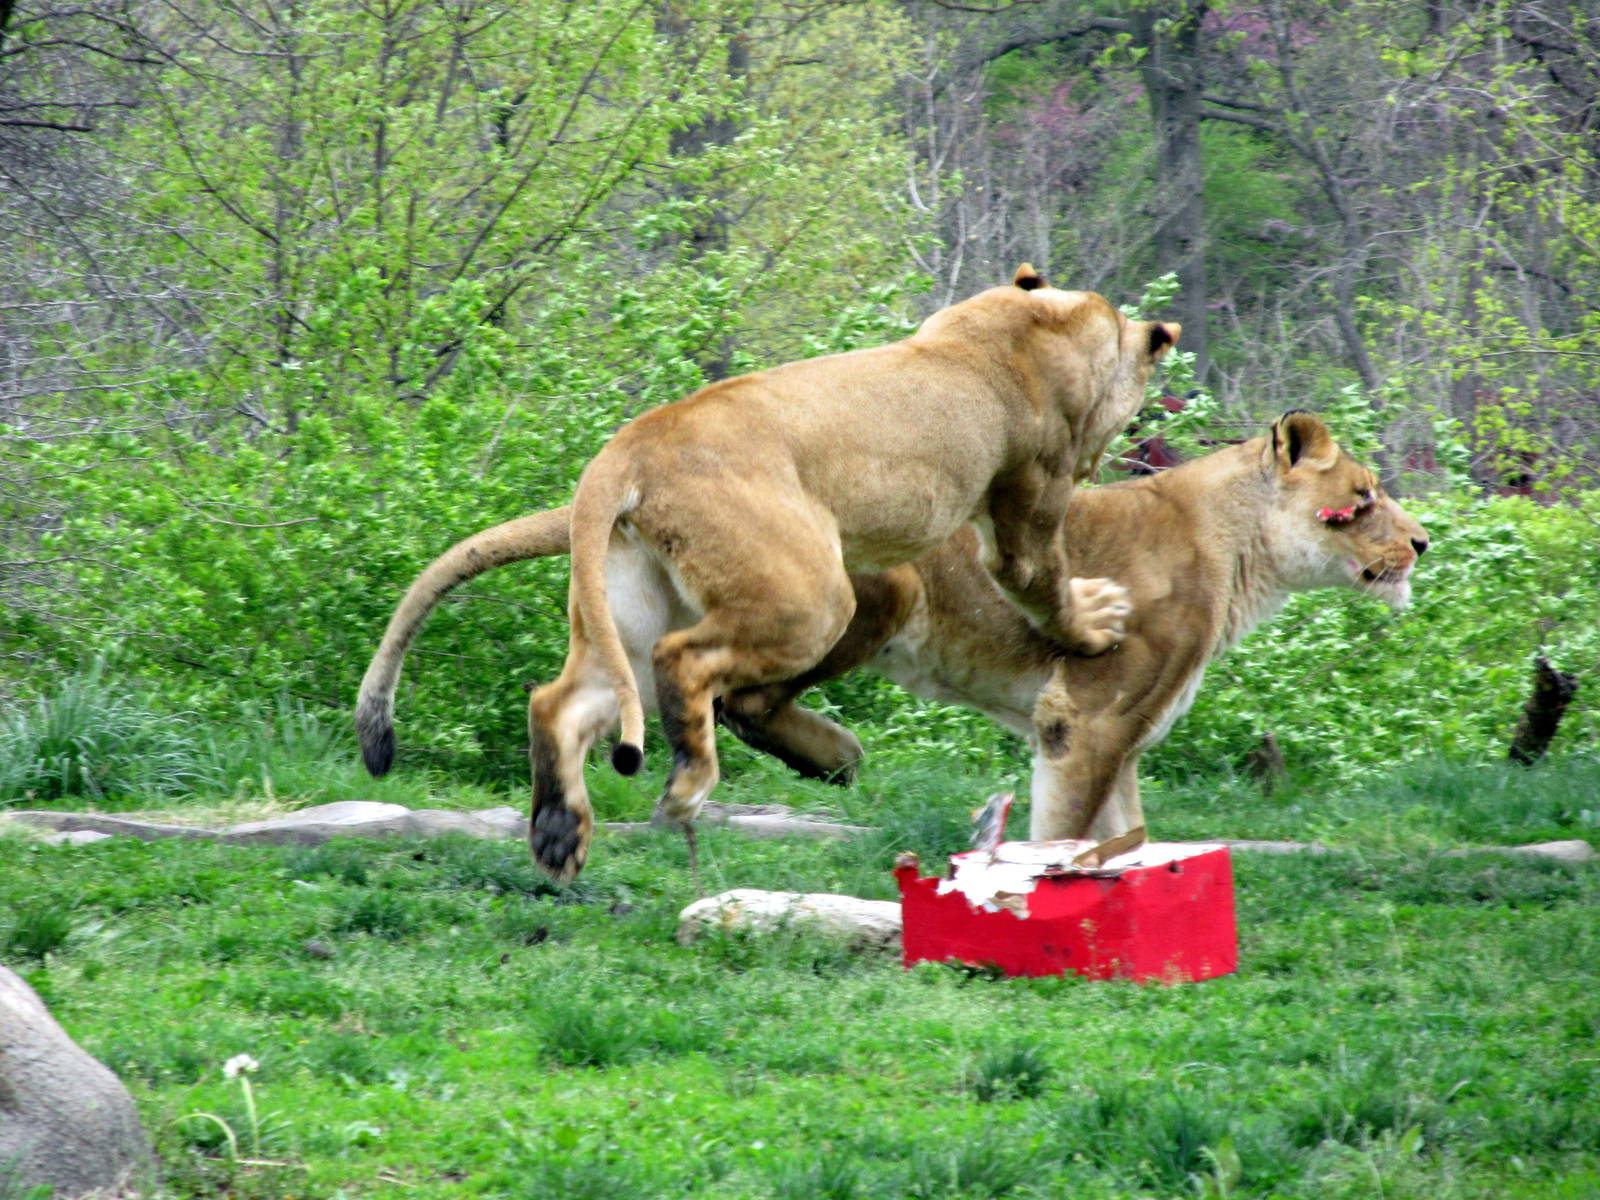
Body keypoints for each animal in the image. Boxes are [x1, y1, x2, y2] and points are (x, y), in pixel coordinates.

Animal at [358, 266, 1179, 881]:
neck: (1040, 319)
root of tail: (628, 447)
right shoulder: (1029, 496)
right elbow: (1040, 579)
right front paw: (1098, 621)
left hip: (630, 601)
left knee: (561, 701)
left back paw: (560, 837)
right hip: (812, 594)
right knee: (687, 666)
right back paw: (687, 789)